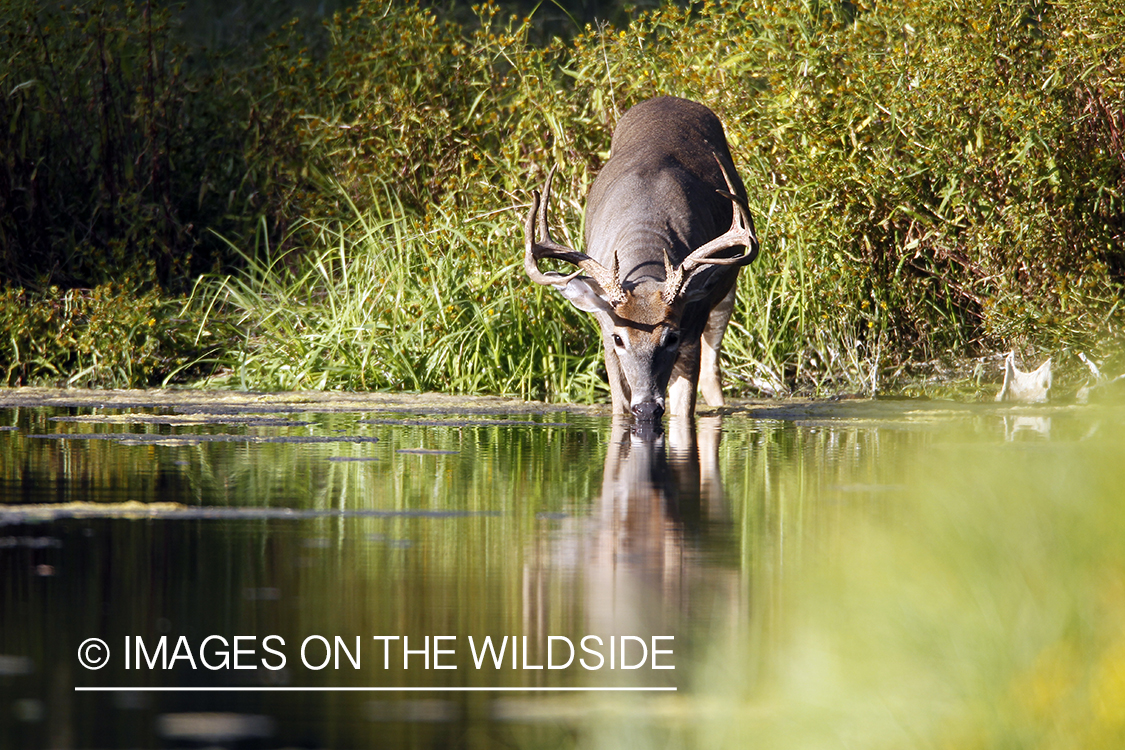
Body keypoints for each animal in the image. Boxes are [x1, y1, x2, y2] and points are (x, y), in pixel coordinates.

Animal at [524, 97, 756, 422]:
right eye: (620, 339)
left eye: (671, 337)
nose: (646, 407)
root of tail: (670, 99)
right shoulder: (606, 329)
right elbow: (619, 408)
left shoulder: (691, 329)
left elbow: (683, 412)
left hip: (726, 294)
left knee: (713, 372)